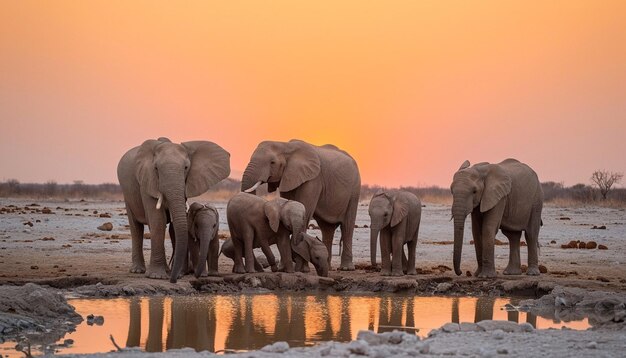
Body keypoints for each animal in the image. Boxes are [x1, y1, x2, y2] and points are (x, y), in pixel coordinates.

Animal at [116, 137, 229, 282]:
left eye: (186, 168)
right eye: (156, 168)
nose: (173, 280)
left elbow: (175, 225)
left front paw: (176, 274)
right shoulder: (147, 181)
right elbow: (158, 219)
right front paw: (157, 276)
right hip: (127, 194)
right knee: (136, 227)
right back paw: (138, 270)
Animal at [239, 138, 358, 270]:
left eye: (272, 162)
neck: (285, 145)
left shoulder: (313, 179)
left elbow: (305, 211)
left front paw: (303, 269)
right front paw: (283, 267)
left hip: (354, 190)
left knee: (347, 226)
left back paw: (346, 268)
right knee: (327, 228)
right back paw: (328, 267)